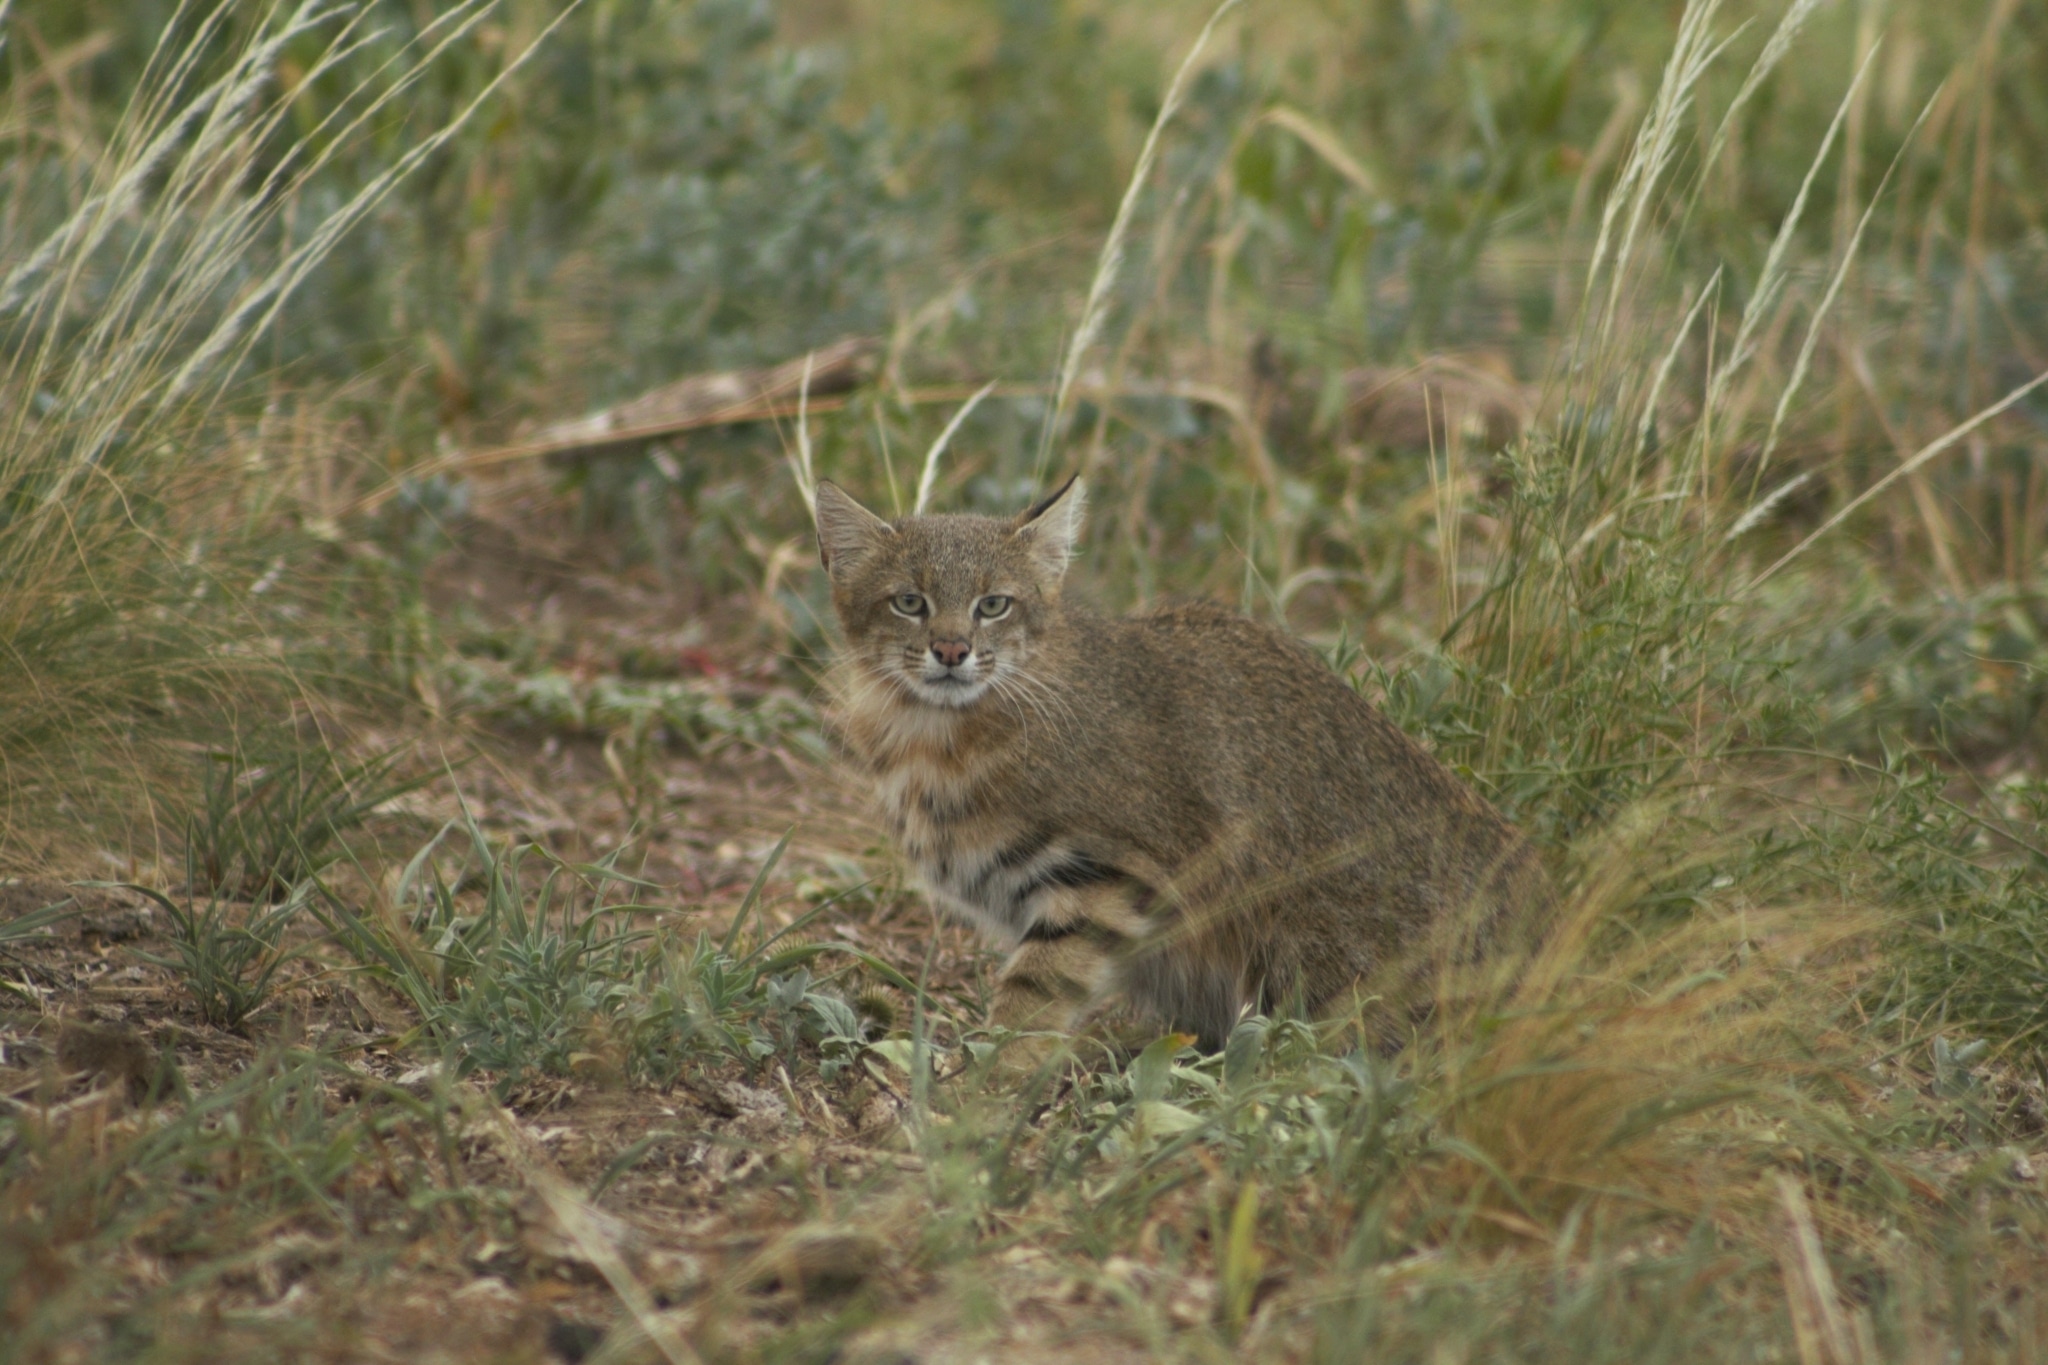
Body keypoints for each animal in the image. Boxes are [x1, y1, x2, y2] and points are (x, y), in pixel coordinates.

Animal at [806, 474, 1540, 1055]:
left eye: (994, 605)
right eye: (909, 601)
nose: (953, 651)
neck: (937, 726)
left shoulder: (1108, 872)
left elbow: (1033, 995)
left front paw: (977, 1097)